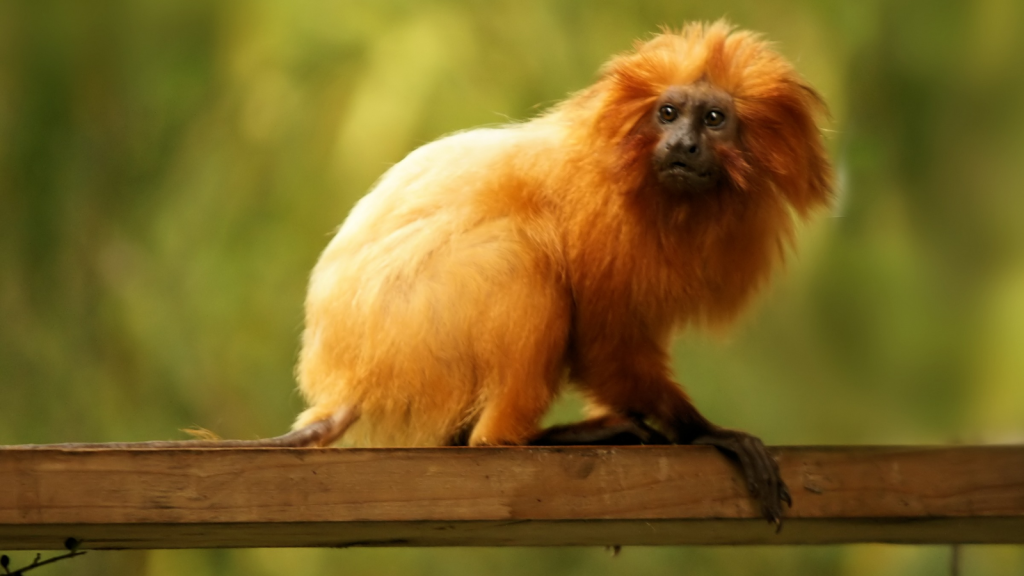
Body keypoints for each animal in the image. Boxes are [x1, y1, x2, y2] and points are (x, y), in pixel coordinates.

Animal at [12, 21, 835, 524]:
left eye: (714, 120)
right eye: (668, 114)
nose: (685, 146)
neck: (662, 192)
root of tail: (348, 377)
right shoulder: (603, 225)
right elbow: (605, 339)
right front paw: (703, 432)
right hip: (421, 327)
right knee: (520, 261)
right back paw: (530, 441)